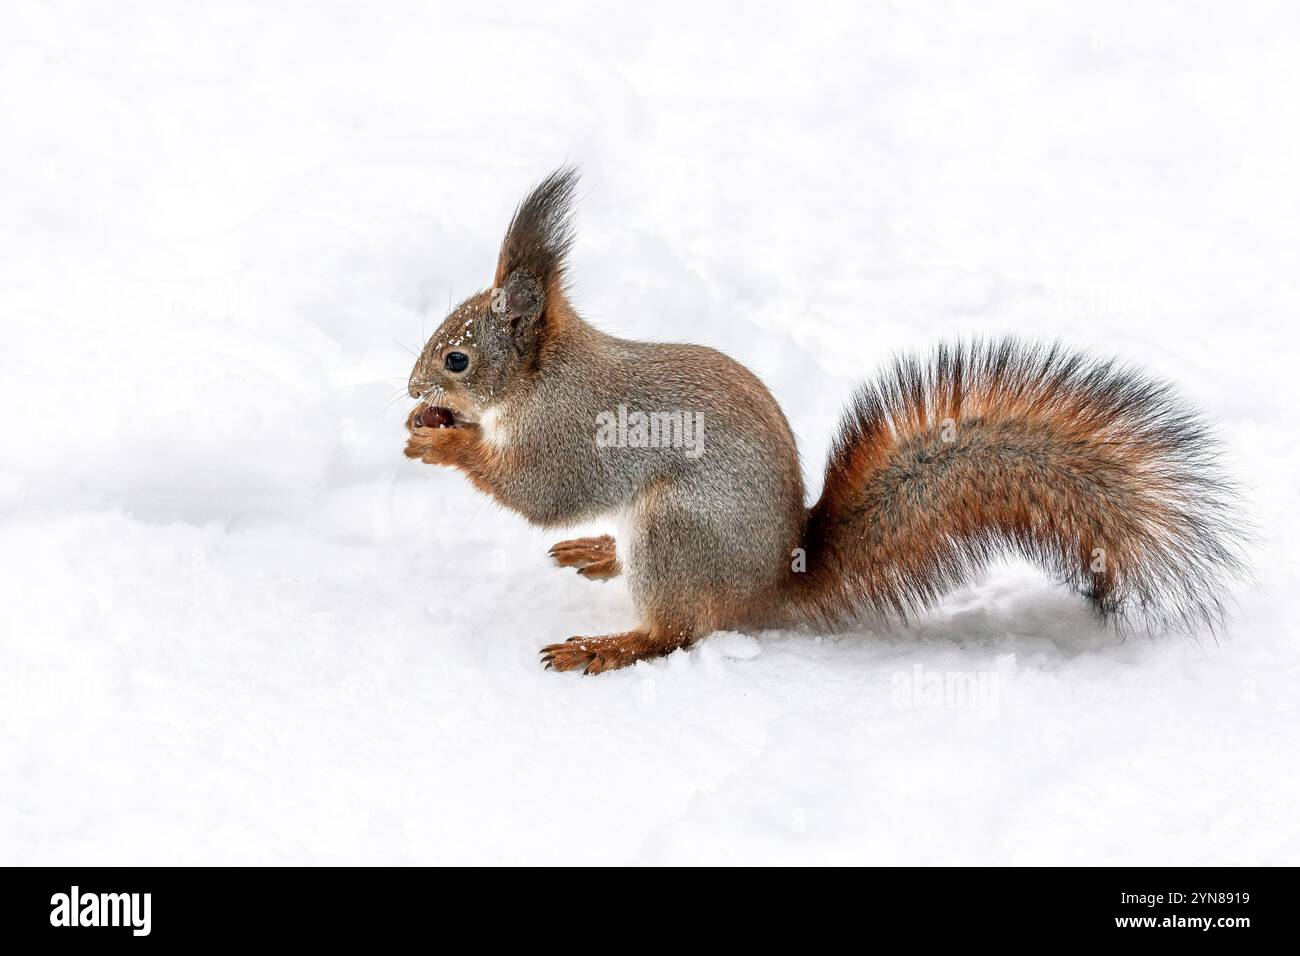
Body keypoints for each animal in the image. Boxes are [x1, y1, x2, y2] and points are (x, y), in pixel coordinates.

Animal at [404, 168, 1244, 674]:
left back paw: (609, 643)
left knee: (678, 632)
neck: (543, 378)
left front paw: (445, 441)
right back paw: (601, 555)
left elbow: (545, 493)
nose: (411, 386)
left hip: (678, 531)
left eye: (457, 359)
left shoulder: (576, 431)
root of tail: (774, 582)